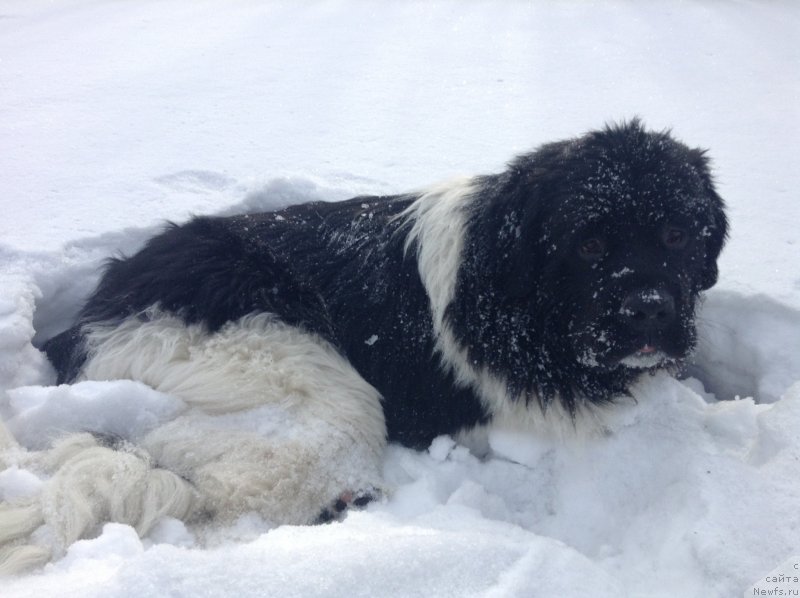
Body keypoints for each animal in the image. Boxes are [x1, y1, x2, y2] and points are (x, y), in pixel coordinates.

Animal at [0, 119, 724, 576]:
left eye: (678, 235)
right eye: (591, 245)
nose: (650, 309)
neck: (518, 292)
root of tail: (94, 319)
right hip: (303, 374)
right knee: (242, 494)